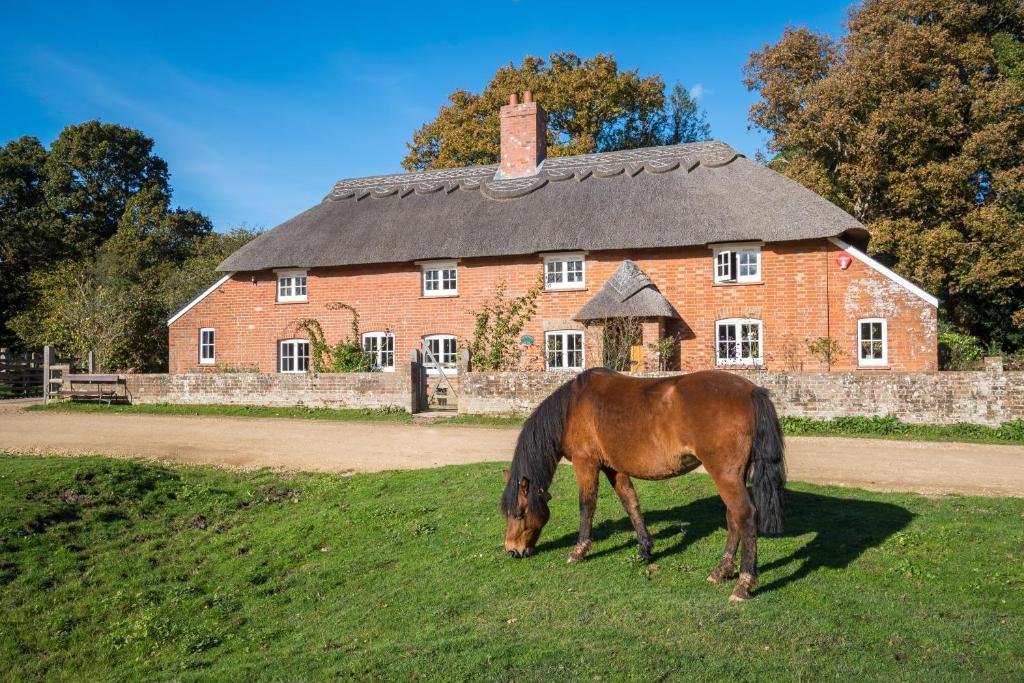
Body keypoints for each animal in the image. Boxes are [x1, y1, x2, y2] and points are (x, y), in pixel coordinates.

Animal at [501, 370, 782, 602]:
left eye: (519, 513)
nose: (512, 551)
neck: (572, 407)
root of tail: (749, 390)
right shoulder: (614, 468)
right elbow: (631, 504)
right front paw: (645, 549)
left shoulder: (586, 463)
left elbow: (586, 506)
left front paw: (579, 551)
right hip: (734, 475)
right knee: (733, 517)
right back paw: (721, 571)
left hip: (724, 474)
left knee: (745, 516)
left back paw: (744, 584)